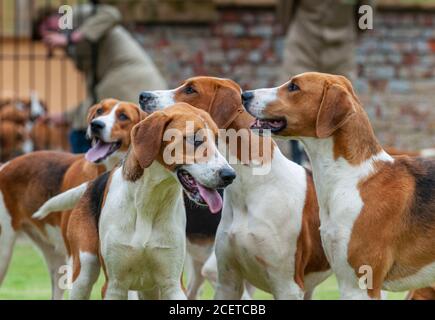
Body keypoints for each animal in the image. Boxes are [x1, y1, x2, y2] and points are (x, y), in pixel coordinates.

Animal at [0, 99, 146, 298]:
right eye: (99, 111)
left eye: (123, 116)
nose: (96, 124)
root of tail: (4, 166)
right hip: (6, 253)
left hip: (55, 259)